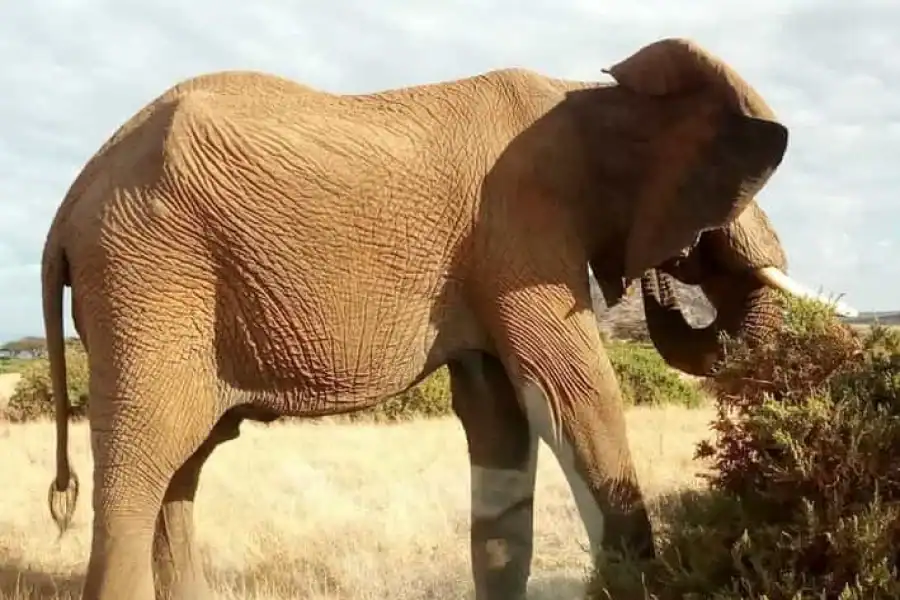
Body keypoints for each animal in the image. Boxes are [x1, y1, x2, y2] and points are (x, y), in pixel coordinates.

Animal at [40, 36, 829, 600]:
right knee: (141, 468)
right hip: (148, 277)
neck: (589, 92)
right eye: (737, 195)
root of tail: (69, 202)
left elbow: (500, 425)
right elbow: (574, 395)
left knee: (184, 469)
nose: (667, 274)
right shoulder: (519, 229)